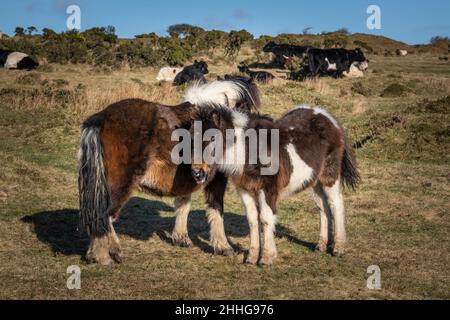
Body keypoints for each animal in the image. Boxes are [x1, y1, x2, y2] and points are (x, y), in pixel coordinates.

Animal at [79, 79, 258, 264]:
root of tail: (100, 118)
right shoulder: (216, 179)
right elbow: (216, 209)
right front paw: (223, 247)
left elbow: (183, 204)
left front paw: (181, 238)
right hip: (120, 184)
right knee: (104, 216)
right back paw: (106, 254)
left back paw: (96, 254)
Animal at [192, 104, 360, 264]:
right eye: (192, 140)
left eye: (212, 139)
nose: (197, 172)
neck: (248, 150)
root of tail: (328, 117)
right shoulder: (245, 190)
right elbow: (252, 220)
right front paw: (252, 257)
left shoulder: (267, 189)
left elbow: (266, 218)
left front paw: (266, 258)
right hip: (314, 180)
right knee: (323, 207)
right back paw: (321, 246)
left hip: (329, 175)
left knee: (336, 204)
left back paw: (338, 248)